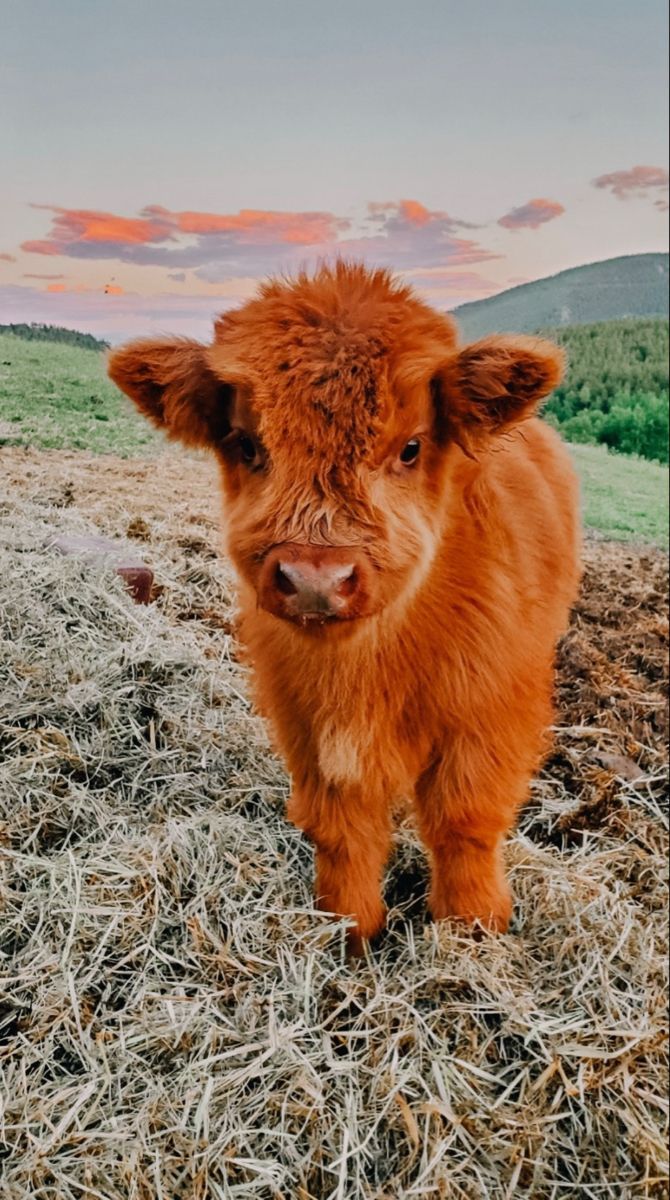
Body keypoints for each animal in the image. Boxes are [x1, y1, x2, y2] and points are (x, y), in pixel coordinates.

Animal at [108, 261, 581, 955]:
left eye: (410, 447)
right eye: (246, 444)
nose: (315, 579)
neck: (370, 666)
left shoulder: (491, 712)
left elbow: (464, 818)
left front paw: (472, 931)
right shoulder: (306, 721)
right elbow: (342, 826)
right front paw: (349, 932)